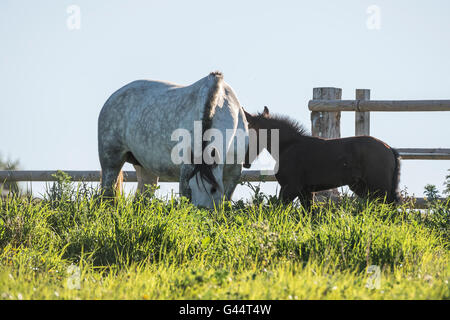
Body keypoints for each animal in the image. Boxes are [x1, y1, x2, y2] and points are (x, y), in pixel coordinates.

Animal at [98, 71, 250, 209]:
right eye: (192, 188)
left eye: (213, 189)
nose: (201, 212)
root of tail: (113, 96)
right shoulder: (186, 171)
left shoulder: (233, 174)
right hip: (111, 163)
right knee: (106, 196)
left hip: (145, 169)